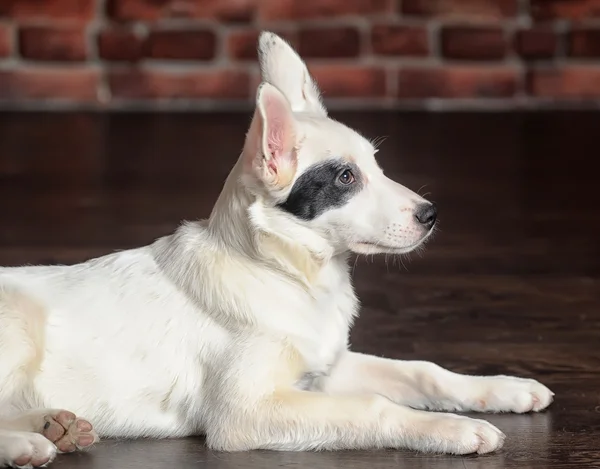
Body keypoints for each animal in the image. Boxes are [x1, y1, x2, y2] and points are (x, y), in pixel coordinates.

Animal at [0, 31, 552, 466]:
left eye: (375, 164)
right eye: (346, 178)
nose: (431, 215)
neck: (280, 269)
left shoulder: (324, 369)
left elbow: (422, 370)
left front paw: (501, 386)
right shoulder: (248, 412)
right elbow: (374, 406)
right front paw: (452, 430)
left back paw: (55, 426)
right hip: (19, 323)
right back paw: (28, 443)